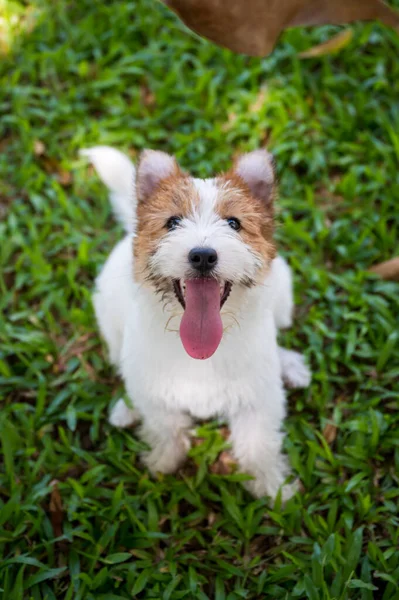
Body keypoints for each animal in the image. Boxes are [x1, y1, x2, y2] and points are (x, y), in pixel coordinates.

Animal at [81, 146, 310, 502]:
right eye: (173, 222)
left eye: (234, 223)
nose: (202, 255)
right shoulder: (155, 392)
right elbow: (166, 425)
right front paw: (164, 460)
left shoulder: (259, 399)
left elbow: (259, 444)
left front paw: (273, 485)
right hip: (110, 324)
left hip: (283, 295)